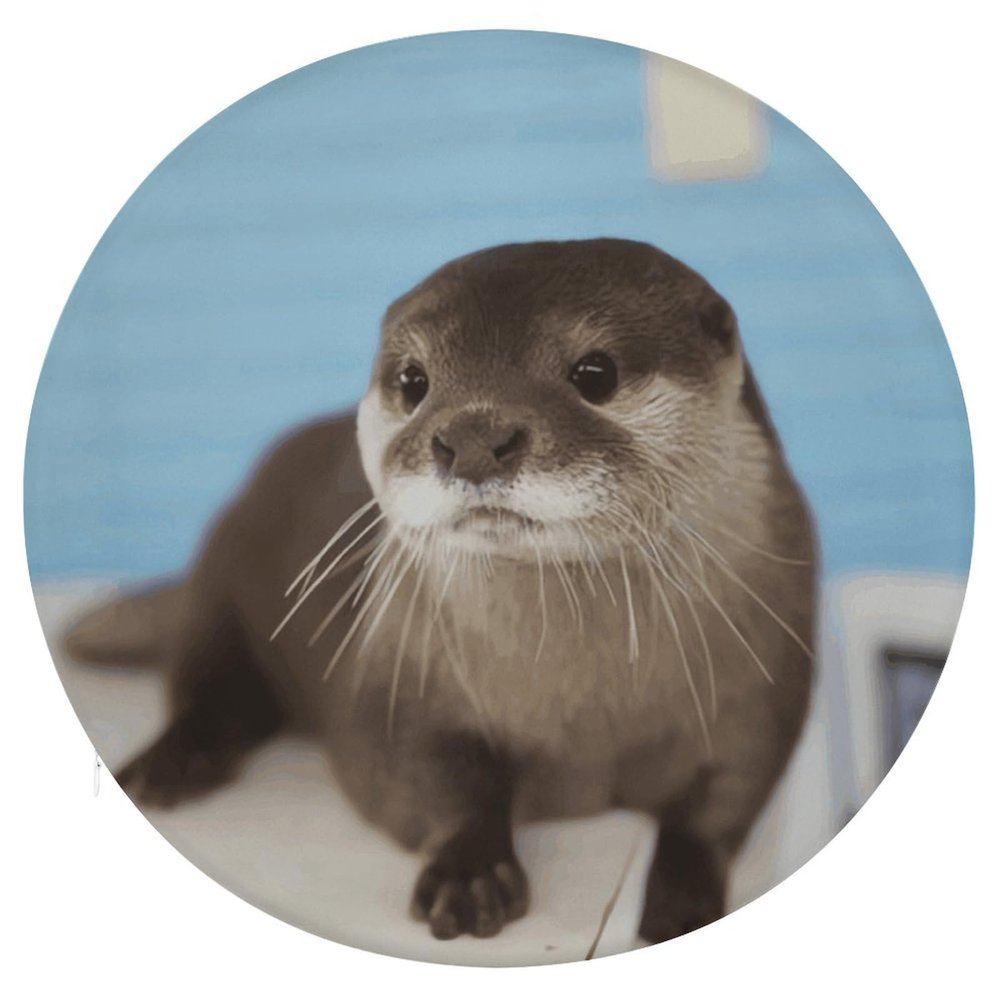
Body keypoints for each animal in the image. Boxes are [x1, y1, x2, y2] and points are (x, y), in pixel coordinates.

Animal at [62, 238, 816, 944]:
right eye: (412, 379)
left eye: (596, 372)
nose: (474, 434)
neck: (582, 716)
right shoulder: (394, 675)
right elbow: (423, 773)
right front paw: (470, 872)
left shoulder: (764, 684)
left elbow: (727, 798)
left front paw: (683, 899)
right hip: (222, 582)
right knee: (210, 684)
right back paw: (170, 766)